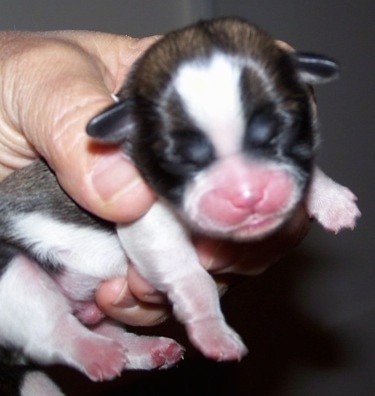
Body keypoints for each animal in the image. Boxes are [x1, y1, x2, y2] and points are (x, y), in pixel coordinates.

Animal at [0, 17, 362, 394]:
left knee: (100, 327)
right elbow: (193, 277)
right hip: (13, 275)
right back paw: (98, 354)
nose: (248, 195)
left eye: (283, 131)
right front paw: (213, 331)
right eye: (180, 160)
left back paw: (143, 350)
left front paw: (332, 199)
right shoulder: (148, 220)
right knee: (53, 330)